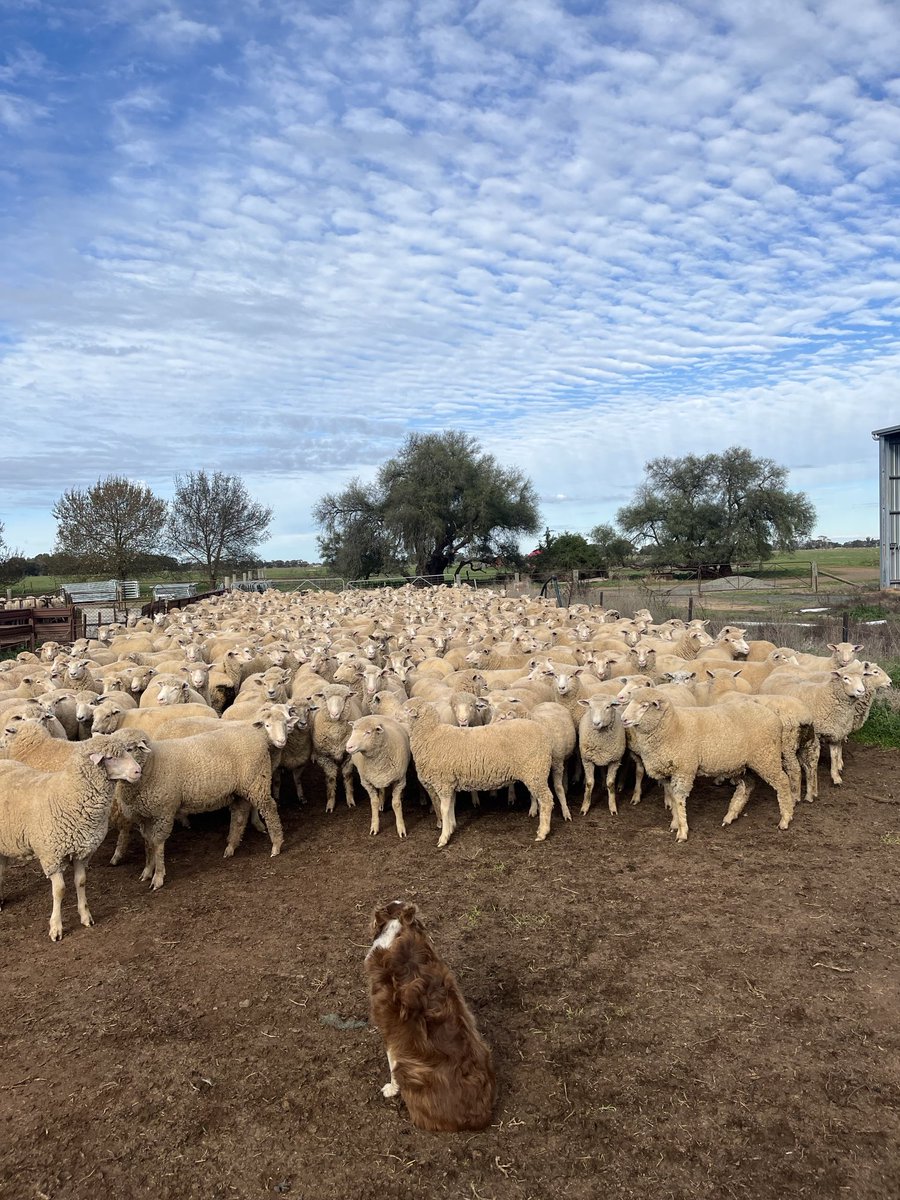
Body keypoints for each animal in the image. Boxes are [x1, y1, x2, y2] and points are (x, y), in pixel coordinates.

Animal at [0, 736, 142, 940]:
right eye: (110, 757)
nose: (138, 771)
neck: (68, 795)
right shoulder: (52, 855)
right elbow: (60, 890)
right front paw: (56, 928)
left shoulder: (82, 851)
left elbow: (81, 882)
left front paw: (85, 916)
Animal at [399, 698, 556, 848]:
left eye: (405, 709)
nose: (395, 717)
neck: (431, 734)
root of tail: (543, 731)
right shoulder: (450, 782)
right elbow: (451, 807)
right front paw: (451, 828)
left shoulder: (443, 782)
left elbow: (444, 809)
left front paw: (443, 838)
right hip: (535, 773)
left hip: (536, 770)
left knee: (547, 799)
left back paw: (542, 832)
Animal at [619, 688, 794, 842]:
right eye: (630, 702)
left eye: (644, 706)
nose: (623, 719)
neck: (673, 726)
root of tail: (775, 717)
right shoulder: (669, 773)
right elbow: (673, 798)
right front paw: (675, 823)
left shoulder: (684, 770)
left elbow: (679, 799)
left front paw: (682, 831)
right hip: (742, 764)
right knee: (747, 786)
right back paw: (730, 816)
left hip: (766, 757)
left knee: (783, 782)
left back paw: (786, 818)